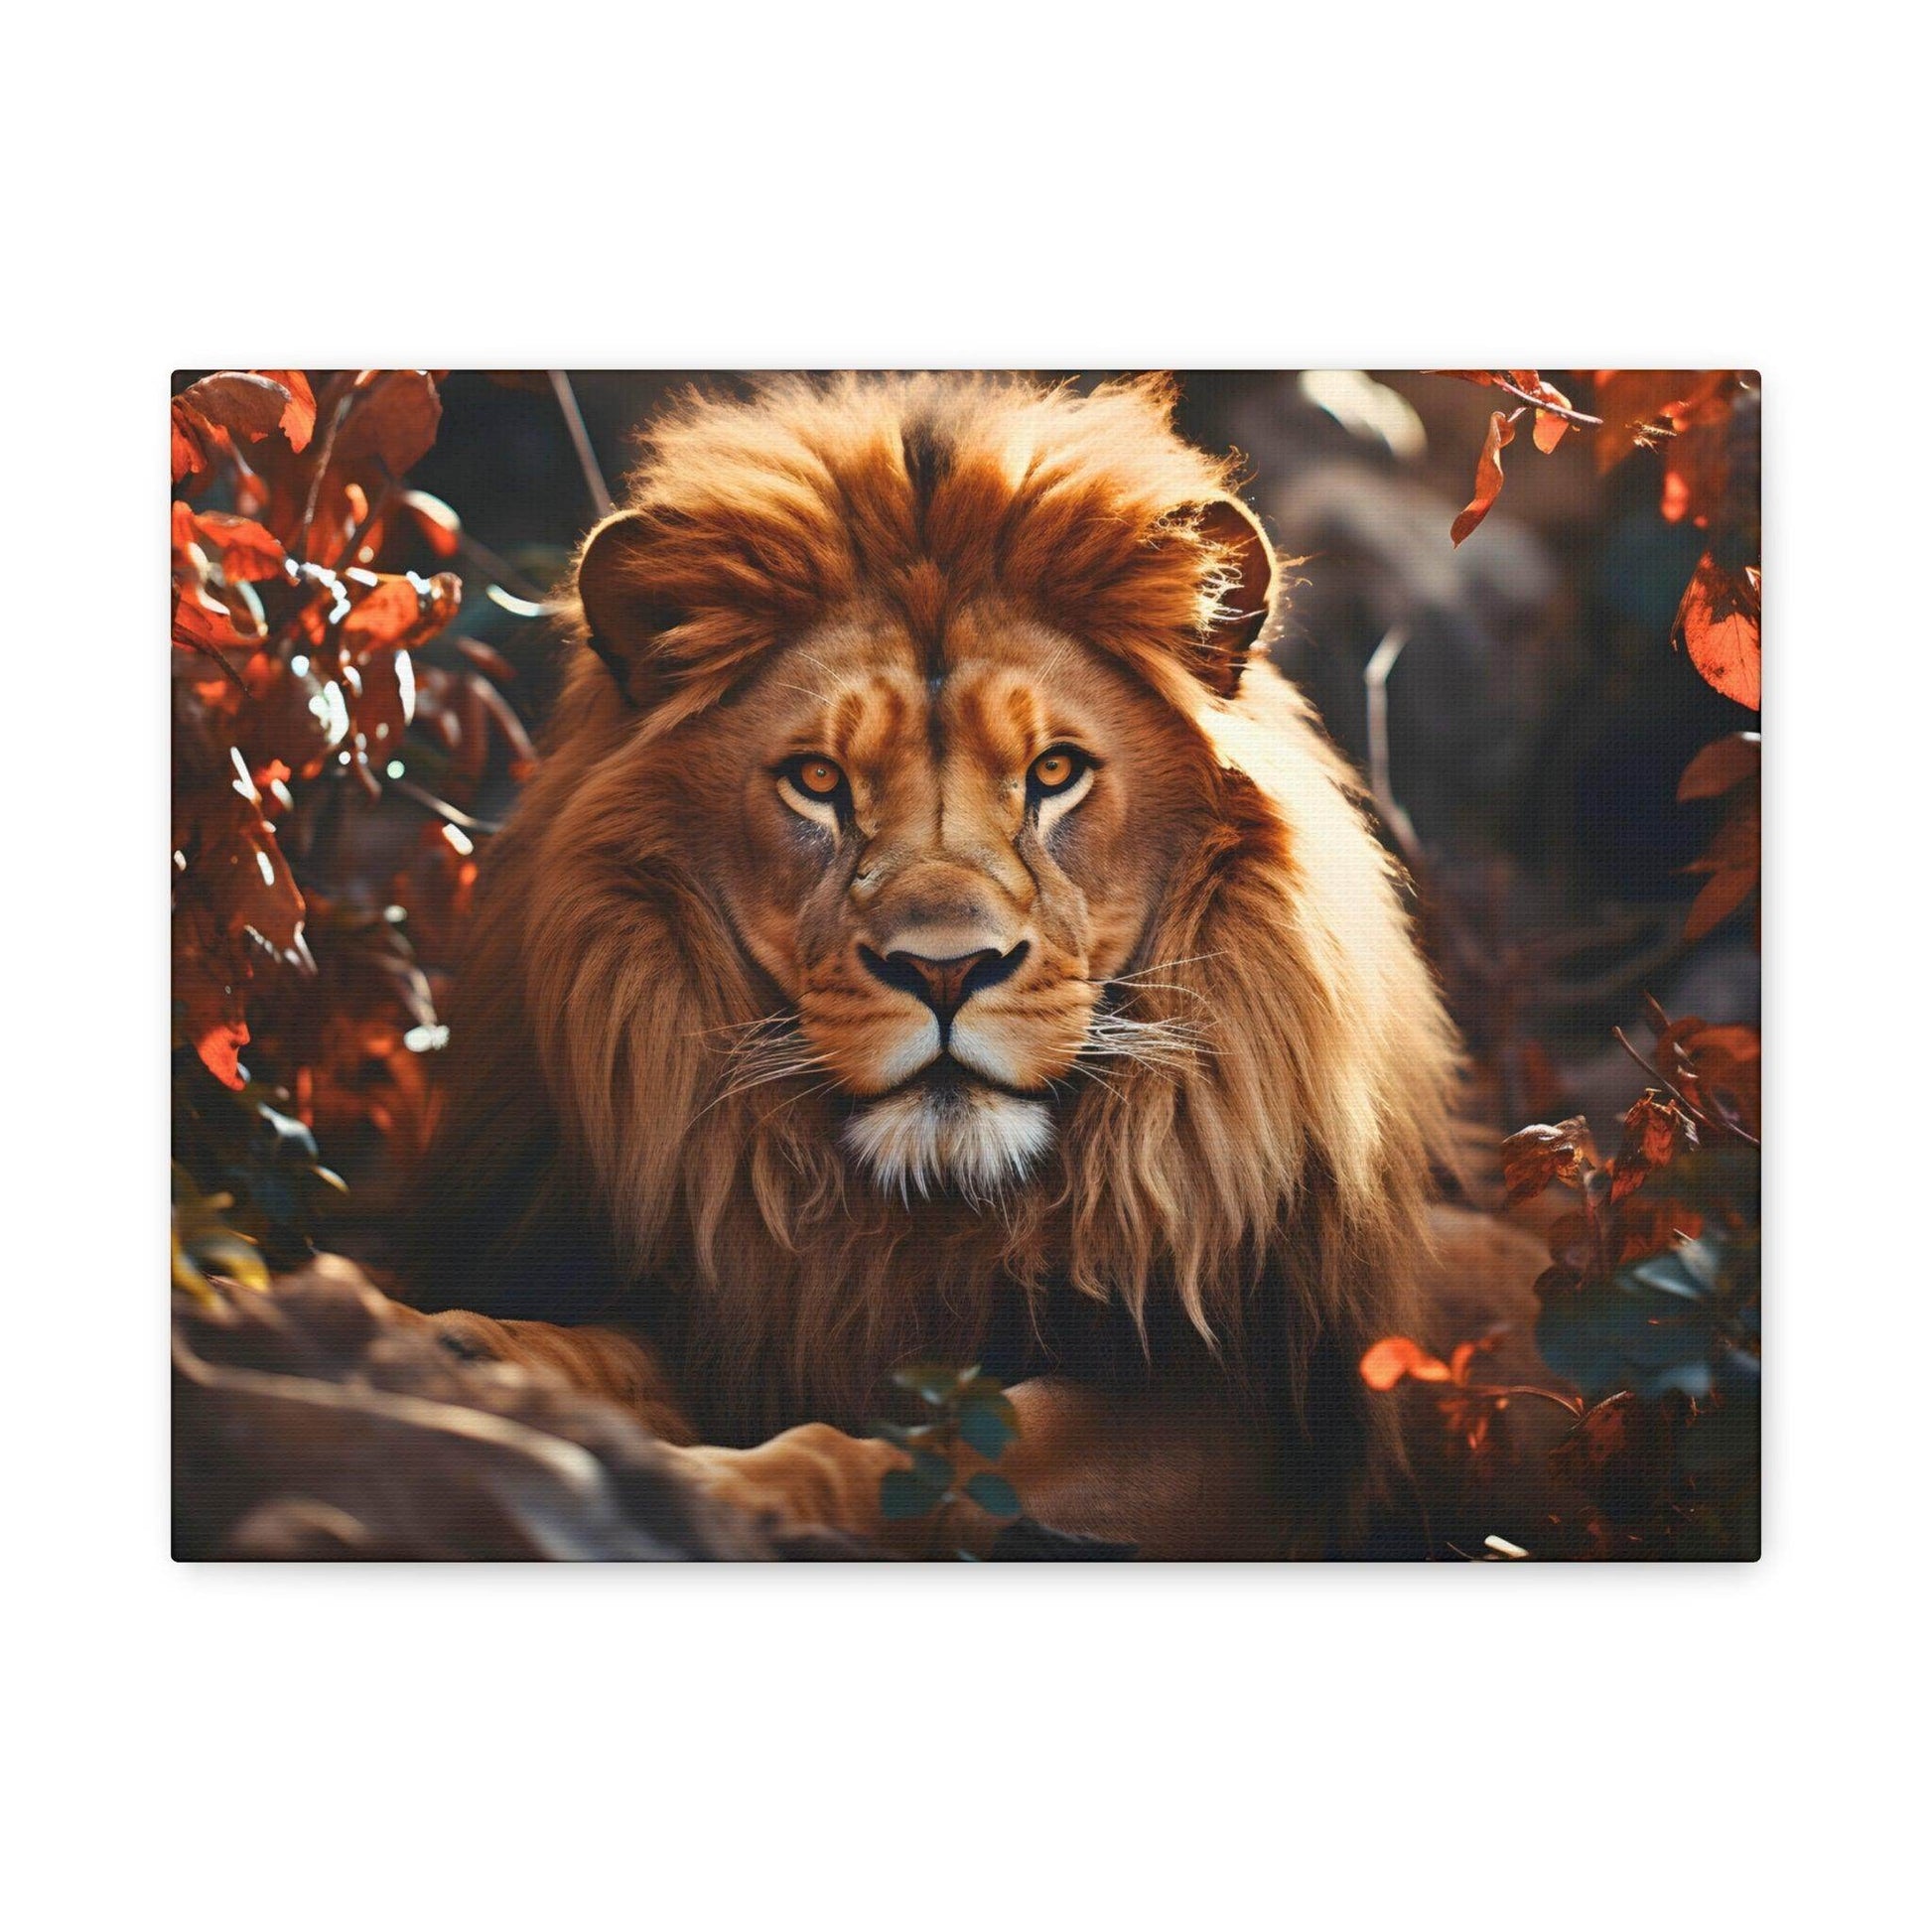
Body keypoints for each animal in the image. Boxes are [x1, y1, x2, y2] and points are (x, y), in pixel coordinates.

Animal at [399, 372, 1464, 1558]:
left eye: (1055, 772)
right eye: (818, 780)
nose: (946, 972)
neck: (929, 1216)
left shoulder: (1254, 1429)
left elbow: (961, 1446)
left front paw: (734, 1494)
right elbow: (593, 1346)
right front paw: (441, 1348)